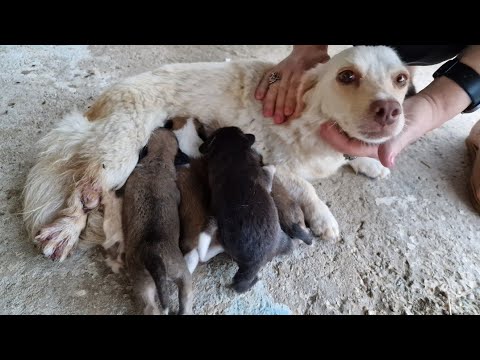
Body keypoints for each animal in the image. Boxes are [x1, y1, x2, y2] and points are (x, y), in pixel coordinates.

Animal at [22, 45, 410, 262]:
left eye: (401, 79)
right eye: (346, 76)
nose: (390, 111)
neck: (314, 117)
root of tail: (100, 104)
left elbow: (351, 155)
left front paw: (369, 162)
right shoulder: (274, 160)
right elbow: (308, 187)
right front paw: (324, 217)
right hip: (120, 155)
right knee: (86, 190)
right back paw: (64, 231)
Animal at [122, 126, 193, 316]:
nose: (164, 125)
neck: (157, 161)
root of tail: (152, 254)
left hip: (142, 283)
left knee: (150, 307)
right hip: (182, 273)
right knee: (185, 298)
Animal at [199, 126, 292, 292]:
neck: (231, 151)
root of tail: (252, 264)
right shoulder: (264, 177)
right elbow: (269, 170)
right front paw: (272, 165)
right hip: (283, 241)